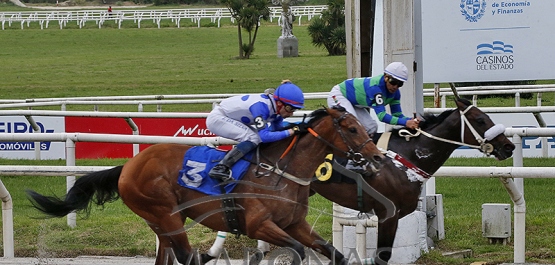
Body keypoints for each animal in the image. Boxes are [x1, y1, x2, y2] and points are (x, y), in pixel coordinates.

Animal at [26, 105, 382, 264]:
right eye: (352, 128)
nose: (377, 157)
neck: (282, 170)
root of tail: (128, 166)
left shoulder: (295, 223)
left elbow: (333, 253)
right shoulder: (258, 224)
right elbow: (295, 250)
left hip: (164, 221)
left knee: (167, 256)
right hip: (165, 212)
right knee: (186, 257)